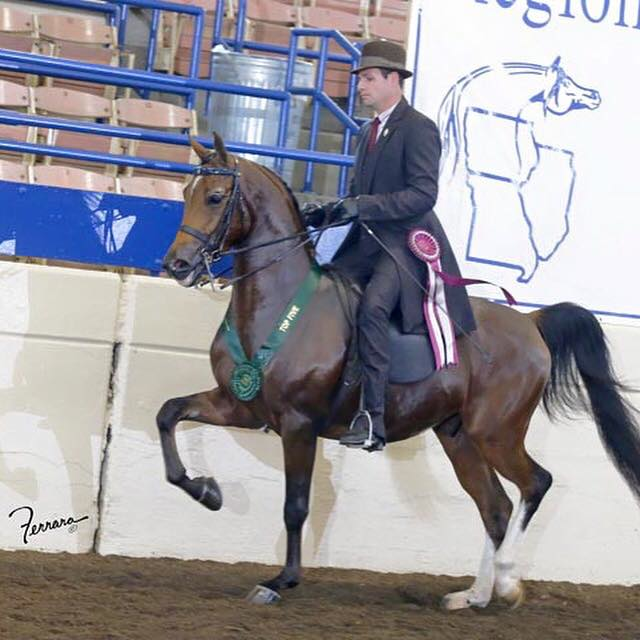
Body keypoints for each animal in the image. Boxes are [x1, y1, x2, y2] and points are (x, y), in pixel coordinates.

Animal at [158, 133, 640, 609]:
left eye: (215, 197)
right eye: (185, 194)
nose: (176, 265)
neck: (280, 302)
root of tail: (531, 321)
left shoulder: (299, 424)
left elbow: (295, 506)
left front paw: (281, 580)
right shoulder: (241, 406)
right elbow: (169, 414)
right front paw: (207, 491)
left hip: (496, 432)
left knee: (536, 483)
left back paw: (505, 582)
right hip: (459, 437)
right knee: (496, 507)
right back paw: (473, 595)